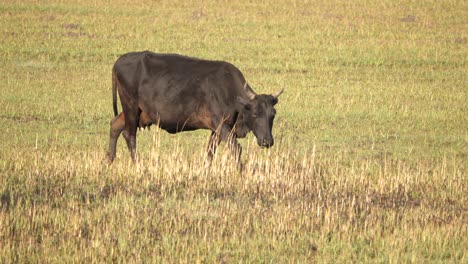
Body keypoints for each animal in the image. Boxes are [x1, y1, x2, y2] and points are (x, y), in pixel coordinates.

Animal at [106, 50, 284, 164]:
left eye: (272, 114)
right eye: (255, 114)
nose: (267, 141)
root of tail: (120, 61)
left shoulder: (216, 130)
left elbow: (210, 152)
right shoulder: (220, 125)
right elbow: (235, 148)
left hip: (140, 113)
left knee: (115, 125)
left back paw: (109, 159)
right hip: (130, 107)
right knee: (129, 134)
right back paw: (137, 164)